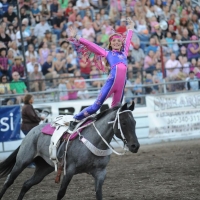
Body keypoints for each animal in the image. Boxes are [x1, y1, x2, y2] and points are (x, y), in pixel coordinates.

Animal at [0, 102, 139, 199]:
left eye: (135, 122)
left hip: (44, 168)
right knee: (8, 181)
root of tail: (32, 131)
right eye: (124, 122)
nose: (135, 146)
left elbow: (99, 194)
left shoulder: (100, 173)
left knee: (26, 184)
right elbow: (61, 193)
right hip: (22, 162)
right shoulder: (69, 170)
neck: (93, 139)